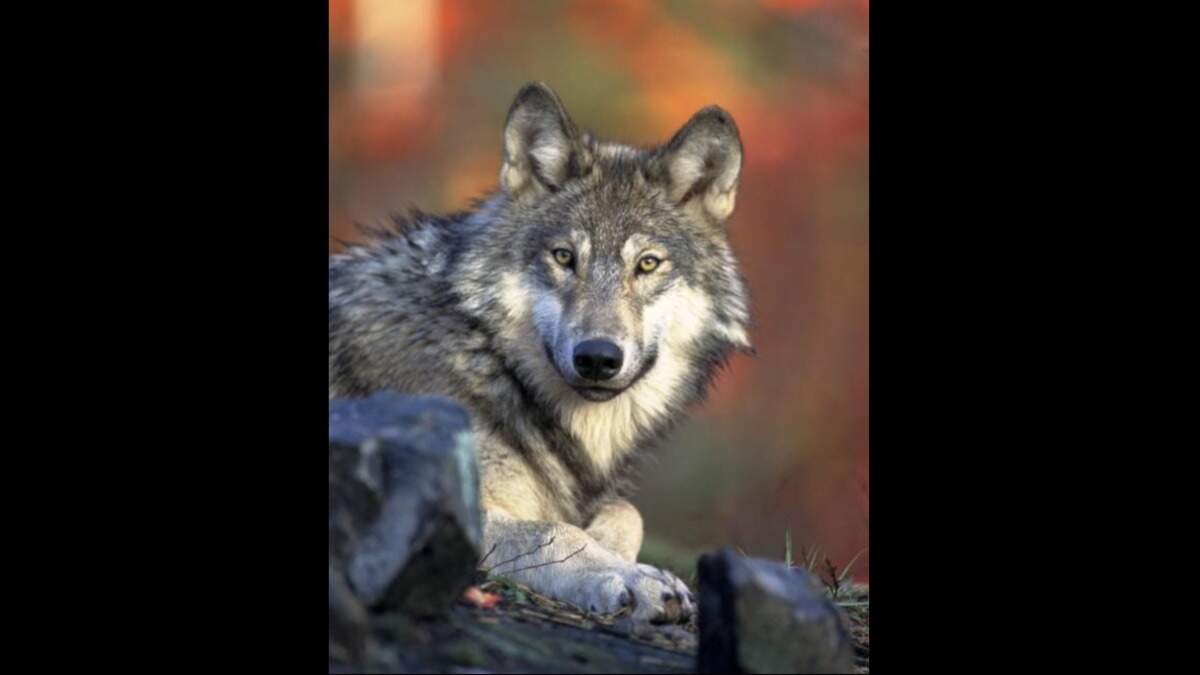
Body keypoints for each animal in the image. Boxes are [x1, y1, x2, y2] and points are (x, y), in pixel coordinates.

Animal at [329, 82, 751, 623]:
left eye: (647, 264)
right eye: (564, 257)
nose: (598, 358)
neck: (489, 359)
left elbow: (626, 512)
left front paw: (617, 553)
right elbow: (554, 531)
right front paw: (632, 578)